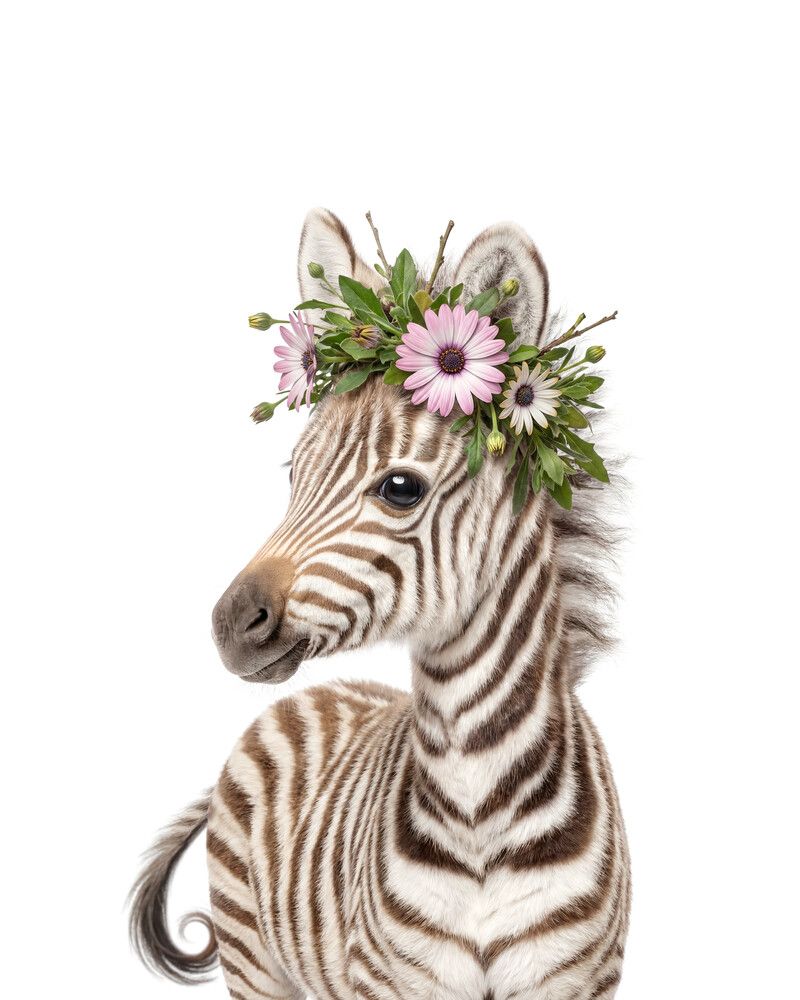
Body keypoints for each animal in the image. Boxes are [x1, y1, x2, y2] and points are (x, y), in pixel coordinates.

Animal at [129, 209, 631, 999]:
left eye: (400, 488)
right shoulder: (386, 980)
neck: (478, 804)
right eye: (293, 474)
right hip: (252, 956)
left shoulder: (578, 980)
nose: (229, 625)